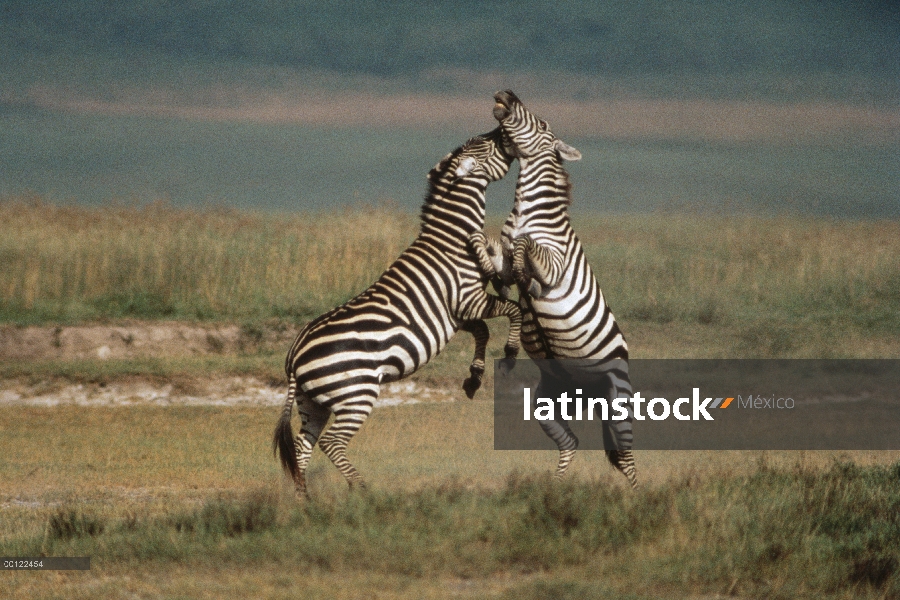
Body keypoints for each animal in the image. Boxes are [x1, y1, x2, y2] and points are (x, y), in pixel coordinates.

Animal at [272, 126, 520, 496]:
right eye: (487, 143)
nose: (504, 129)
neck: (453, 239)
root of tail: (294, 356)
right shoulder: (468, 300)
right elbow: (513, 311)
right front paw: (511, 353)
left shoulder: (458, 314)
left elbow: (483, 330)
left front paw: (474, 378)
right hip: (356, 393)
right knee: (331, 442)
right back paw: (361, 490)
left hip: (312, 402)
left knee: (303, 447)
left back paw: (306, 501)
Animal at [468, 91, 636, 490]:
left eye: (542, 123)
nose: (505, 94)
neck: (527, 212)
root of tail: (590, 397)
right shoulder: (503, 247)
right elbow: (492, 245)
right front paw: (493, 271)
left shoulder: (555, 263)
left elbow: (525, 245)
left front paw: (524, 278)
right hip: (548, 400)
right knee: (571, 441)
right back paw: (555, 485)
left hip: (618, 396)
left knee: (626, 457)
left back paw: (636, 494)